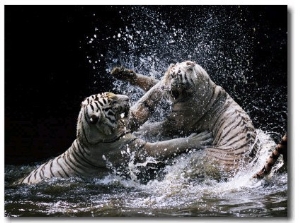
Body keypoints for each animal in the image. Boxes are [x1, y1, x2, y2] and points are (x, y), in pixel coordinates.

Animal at [17, 91, 213, 184]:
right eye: (111, 100)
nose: (127, 98)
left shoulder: (128, 124)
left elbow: (145, 102)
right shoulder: (137, 150)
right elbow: (169, 145)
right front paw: (199, 139)